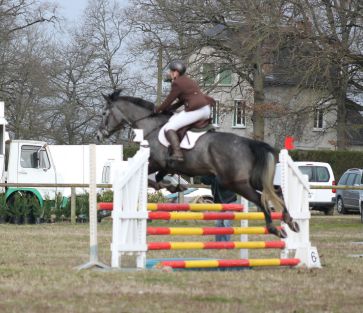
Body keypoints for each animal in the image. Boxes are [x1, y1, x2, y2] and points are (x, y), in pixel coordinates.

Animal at [96, 89, 298, 238]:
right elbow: (161, 179)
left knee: (260, 199)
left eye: (104, 113)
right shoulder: (165, 166)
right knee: (276, 191)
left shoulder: (155, 162)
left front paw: (170, 187)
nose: (99, 135)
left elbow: (151, 180)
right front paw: (174, 187)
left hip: (235, 182)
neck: (150, 126)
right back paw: (290, 221)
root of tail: (248, 143)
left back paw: (275, 228)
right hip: (250, 179)